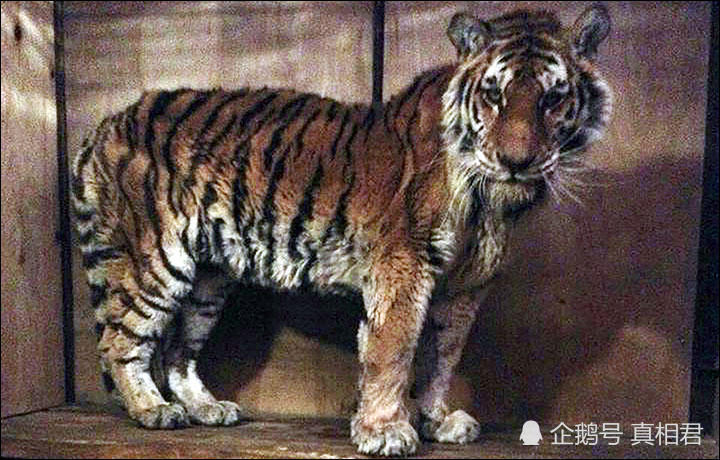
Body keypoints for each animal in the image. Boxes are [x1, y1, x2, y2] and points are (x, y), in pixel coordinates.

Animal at [72, 4, 611, 457]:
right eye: (494, 95)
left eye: (553, 98)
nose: (516, 162)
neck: (491, 204)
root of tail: (106, 123)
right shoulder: (404, 264)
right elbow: (393, 351)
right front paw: (385, 431)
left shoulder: (465, 286)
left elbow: (442, 357)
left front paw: (436, 421)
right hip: (155, 259)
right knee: (121, 340)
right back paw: (153, 410)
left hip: (207, 279)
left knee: (178, 352)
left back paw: (205, 408)